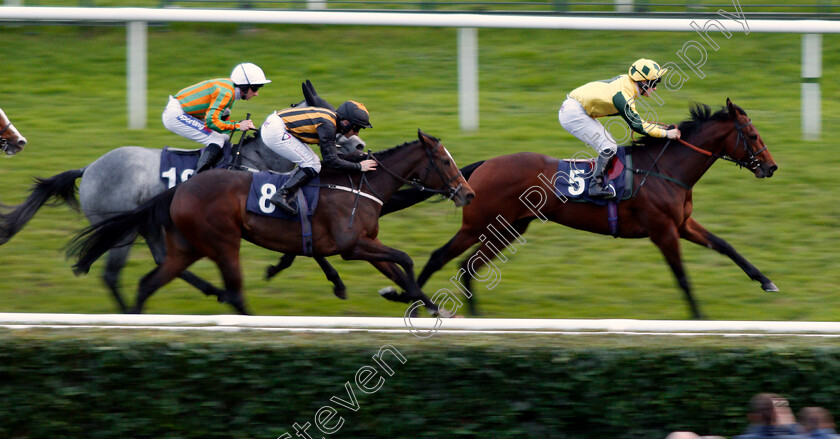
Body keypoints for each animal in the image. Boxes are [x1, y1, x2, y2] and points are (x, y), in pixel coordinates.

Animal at [410, 99, 776, 320]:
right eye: (752, 135)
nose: (771, 167)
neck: (666, 169)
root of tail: (483, 165)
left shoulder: (683, 224)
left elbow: (725, 246)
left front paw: (765, 281)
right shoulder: (663, 232)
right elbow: (683, 277)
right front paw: (699, 319)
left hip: (508, 229)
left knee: (467, 266)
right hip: (479, 226)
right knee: (440, 257)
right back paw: (416, 305)